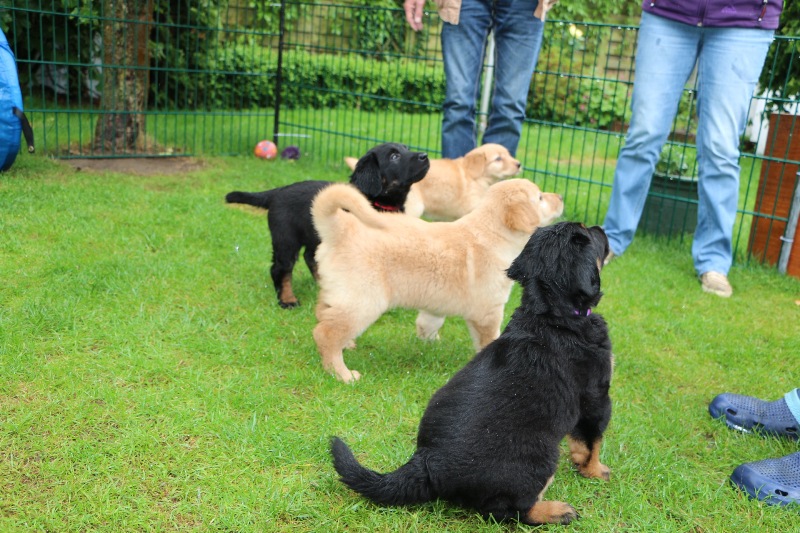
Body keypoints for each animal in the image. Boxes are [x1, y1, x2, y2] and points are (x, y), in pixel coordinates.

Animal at [225, 143, 429, 308]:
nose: (425, 155)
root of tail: (276, 192)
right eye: (394, 156)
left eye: (406, 148)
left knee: (310, 257)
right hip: (286, 239)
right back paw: (287, 299)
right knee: (281, 268)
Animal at [311, 178, 563, 382]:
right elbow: (489, 339)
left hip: (340, 293)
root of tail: (341, 228)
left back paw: (347, 346)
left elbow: (430, 321)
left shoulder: (437, 299)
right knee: (325, 333)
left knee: (323, 314)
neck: (493, 233)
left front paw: (429, 341)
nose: (561, 197)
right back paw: (342, 374)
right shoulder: (488, 310)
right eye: (540, 197)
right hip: (364, 300)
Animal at [331, 222, 613, 526]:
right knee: (509, 509)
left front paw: (582, 464)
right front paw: (597, 471)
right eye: (588, 234)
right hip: (541, 457)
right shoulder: (596, 395)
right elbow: (594, 439)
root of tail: (427, 462)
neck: (552, 315)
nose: (600, 227)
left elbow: (580, 440)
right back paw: (556, 511)